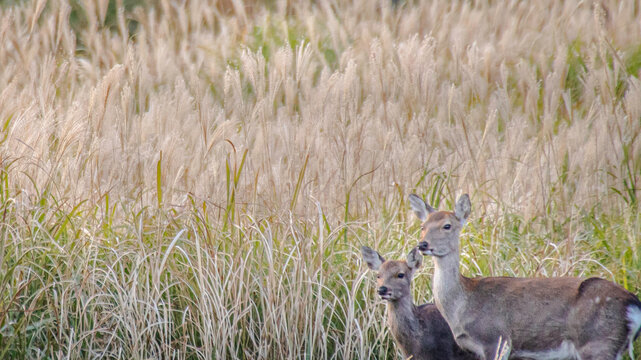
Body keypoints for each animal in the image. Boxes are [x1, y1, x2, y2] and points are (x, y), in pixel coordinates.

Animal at [408, 194, 640, 360]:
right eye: (423, 226)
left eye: (447, 225)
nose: (423, 245)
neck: (462, 304)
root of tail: (633, 305)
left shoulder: (497, 339)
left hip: (598, 342)